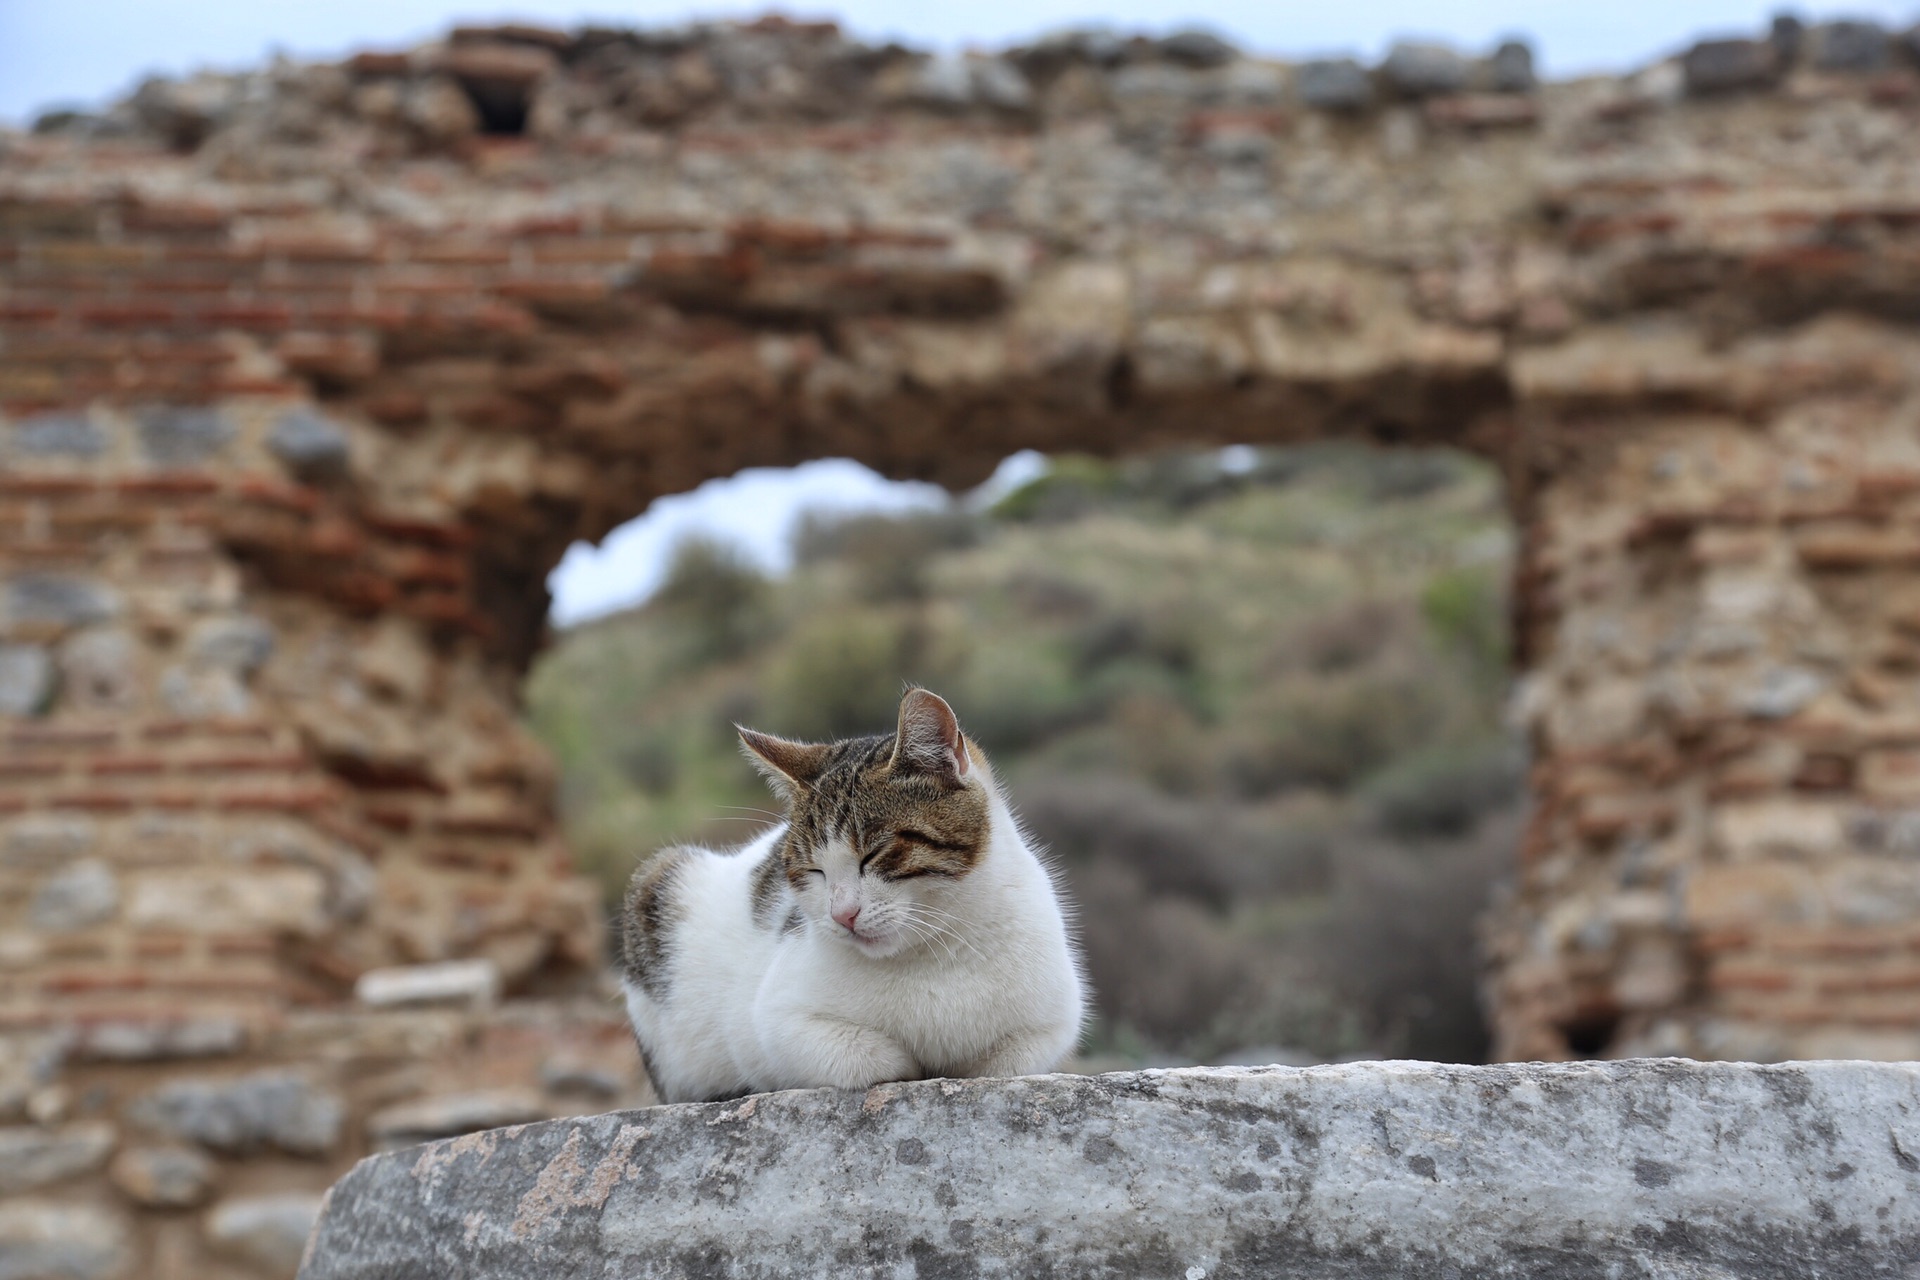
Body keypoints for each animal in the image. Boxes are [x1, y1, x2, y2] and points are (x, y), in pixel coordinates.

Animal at [622, 690, 1090, 1105]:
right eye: (812, 870)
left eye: (874, 853)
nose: (841, 914)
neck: (935, 952)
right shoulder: (775, 1020)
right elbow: (873, 1058)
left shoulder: (1051, 1024)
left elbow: (1005, 1061)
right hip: (657, 879)